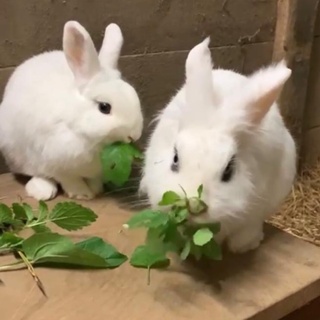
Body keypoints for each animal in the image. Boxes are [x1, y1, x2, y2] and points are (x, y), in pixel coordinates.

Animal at [0, 20, 142, 200]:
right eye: (104, 107)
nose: (134, 136)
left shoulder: (96, 171)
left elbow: (94, 179)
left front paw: (96, 190)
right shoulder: (57, 164)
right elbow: (69, 180)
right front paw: (82, 195)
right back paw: (42, 190)